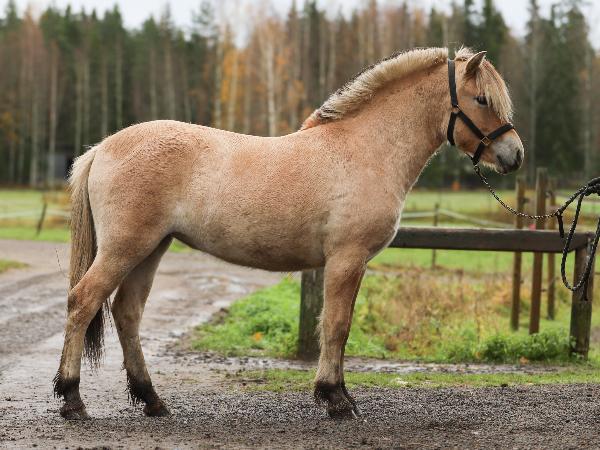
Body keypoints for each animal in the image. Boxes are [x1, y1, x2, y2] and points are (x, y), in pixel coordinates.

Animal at [54, 47, 523, 420]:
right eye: (482, 99)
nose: (514, 155)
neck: (365, 149)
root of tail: (102, 149)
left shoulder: (352, 263)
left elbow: (340, 327)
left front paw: (339, 394)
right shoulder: (346, 259)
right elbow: (335, 326)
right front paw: (335, 399)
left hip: (150, 249)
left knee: (127, 313)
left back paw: (152, 400)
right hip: (124, 248)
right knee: (82, 302)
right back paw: (73, 400)